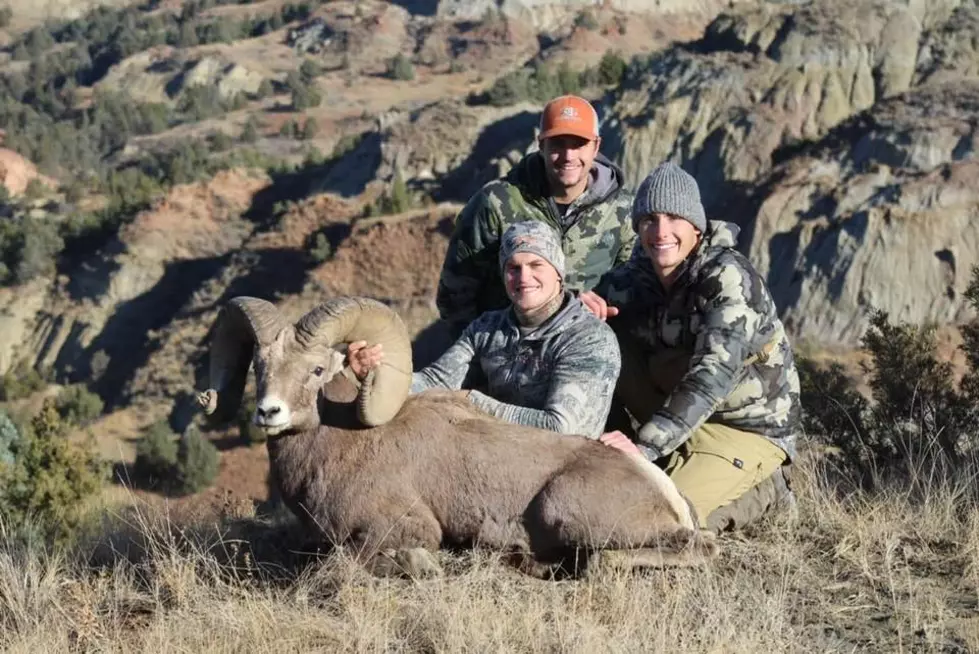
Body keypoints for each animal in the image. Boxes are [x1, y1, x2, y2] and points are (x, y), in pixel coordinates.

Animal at [201, 298, 720, 580]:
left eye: (316, 370)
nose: (269, 413)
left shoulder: (400, 528)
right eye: (259, 367)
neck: (340, 445)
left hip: (569, 512)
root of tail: (664, 491)